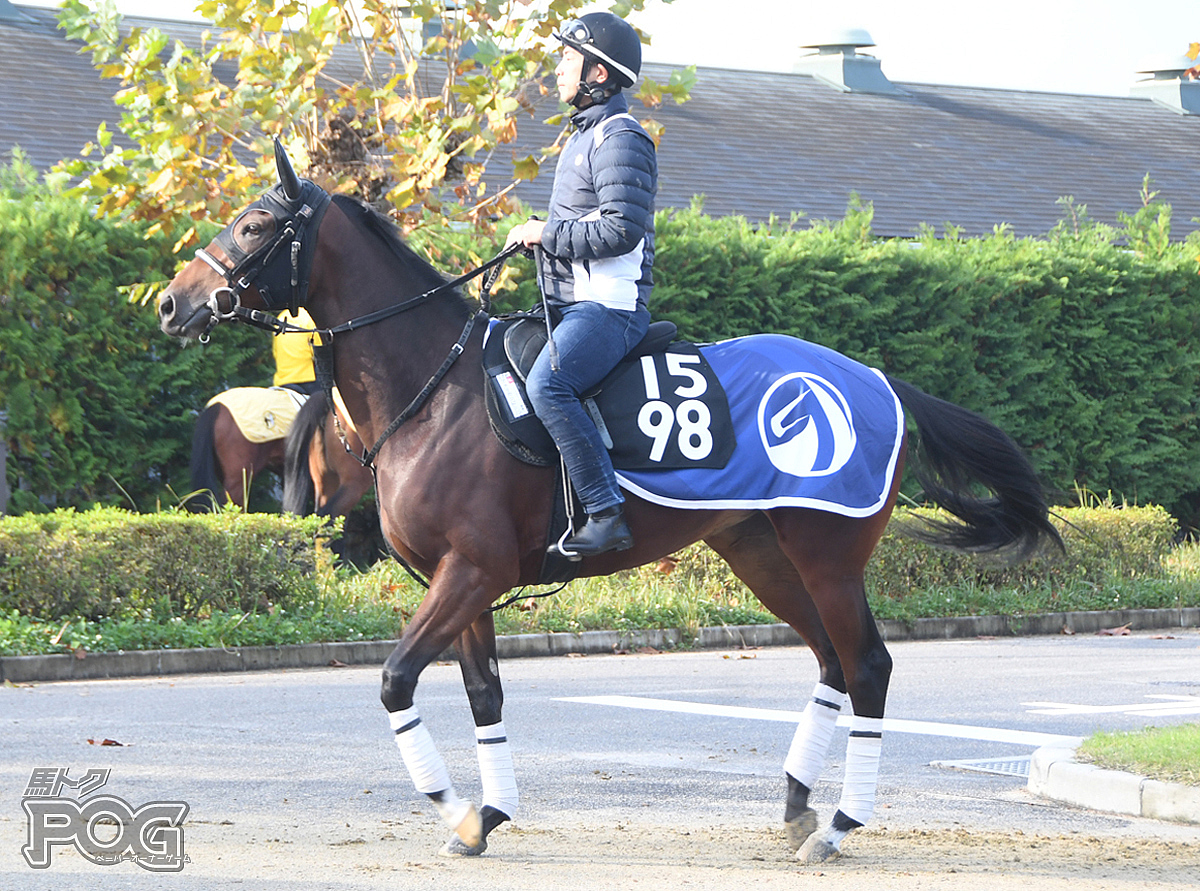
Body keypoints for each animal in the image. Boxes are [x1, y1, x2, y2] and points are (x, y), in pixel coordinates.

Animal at [157, 146, 1060, 864]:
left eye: (252, 225)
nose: (172, 301)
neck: (437, 389)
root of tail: (878, 380)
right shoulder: (465, 581)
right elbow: (483, 695)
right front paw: (488, 811)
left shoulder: (470, 571)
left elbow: (395, 679)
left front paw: (455, 807)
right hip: (762, 553)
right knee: (834, 662)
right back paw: (797, 805)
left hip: (828, 557)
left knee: (868, 665)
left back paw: (838, 824)